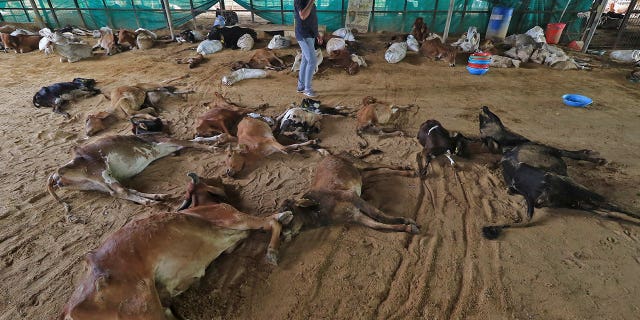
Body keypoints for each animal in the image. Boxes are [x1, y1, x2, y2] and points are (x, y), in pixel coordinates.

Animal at [48, 134, 212, 214]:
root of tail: (56, 176)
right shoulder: (164, 141)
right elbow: (191, 142)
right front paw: (212, 147)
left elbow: (193, 140)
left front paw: (215, 139)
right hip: (101, 171)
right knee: (121, 191)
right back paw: (152, 202)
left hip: (95, 183)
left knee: (121, 191)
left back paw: (158, 197)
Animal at [57, 174, 292, 318]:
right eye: (208, 178)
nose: (231, 181)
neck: (202, 207)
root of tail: (68, 310)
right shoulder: (231, 217)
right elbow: (271, 221)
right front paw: (274, 246)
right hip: (144, 308)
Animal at [280, 152, 420, 238]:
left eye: (288, 211)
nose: (282, 235)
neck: (318, 211)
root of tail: (335, 154)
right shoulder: (354, 215)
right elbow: (376, 225)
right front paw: (408, 227)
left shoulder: (351, 196)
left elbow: (377, 214)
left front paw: (406, 220)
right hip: (363, 175)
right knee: (380, 171)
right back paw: (406, 172)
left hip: (359, 163)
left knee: (378, 165)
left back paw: (407, 170)